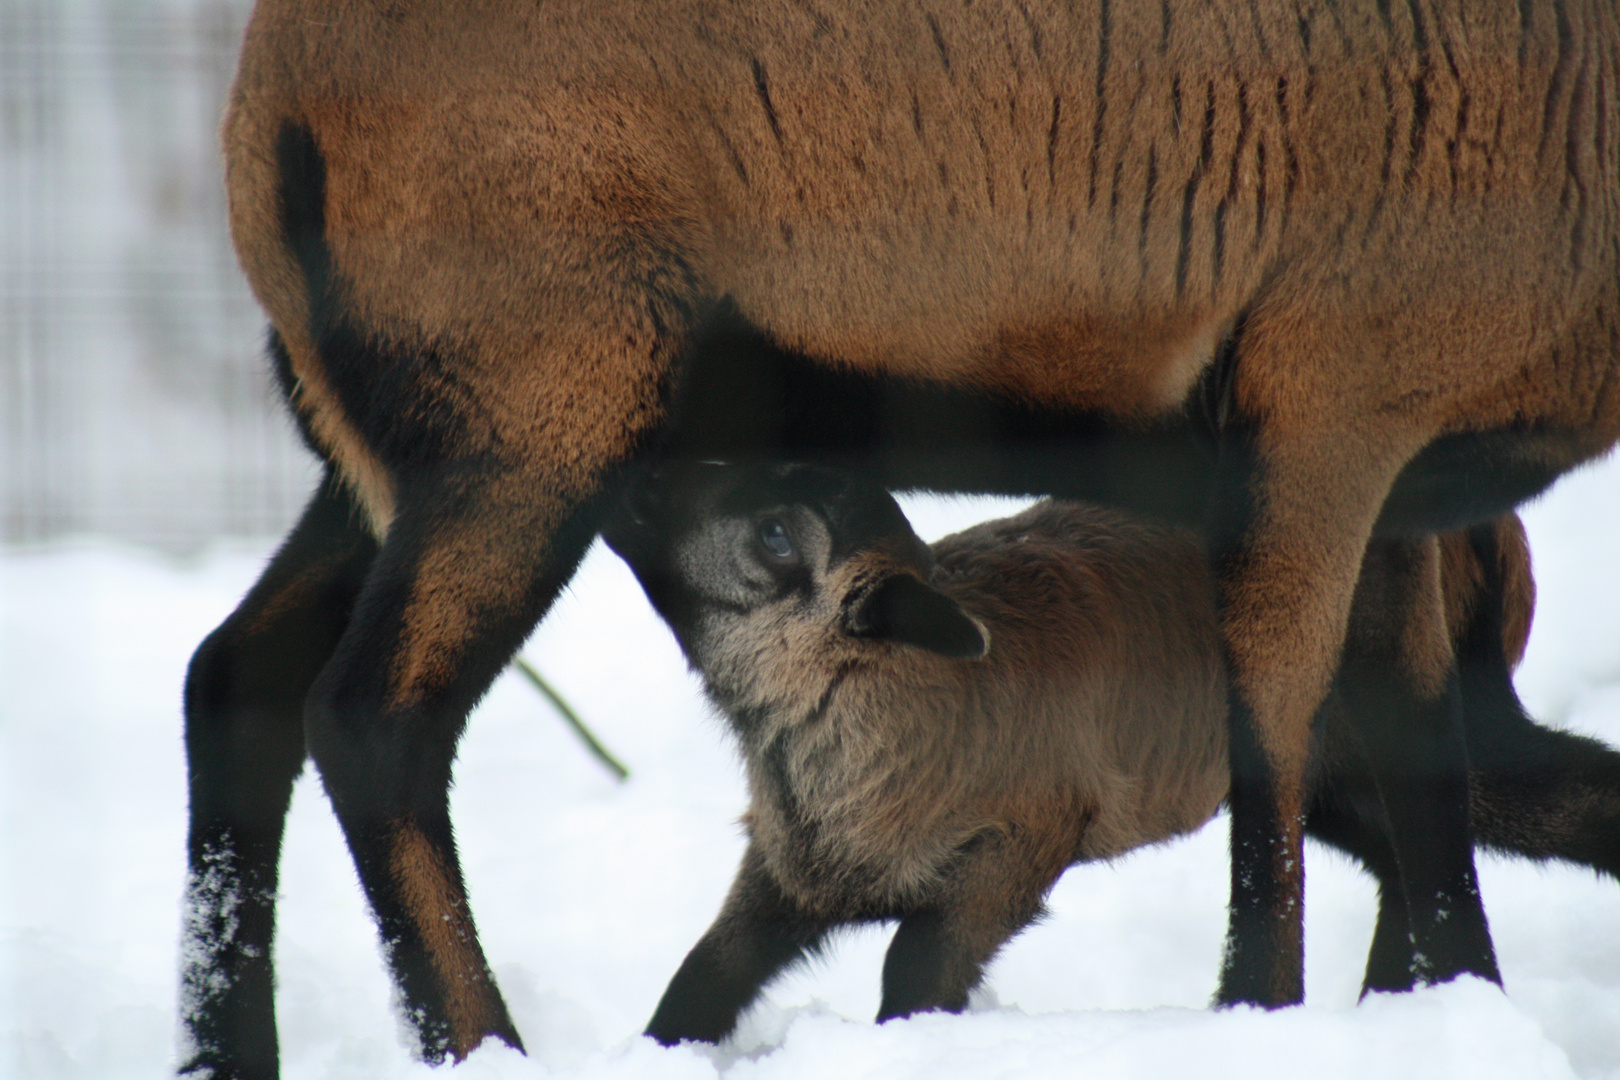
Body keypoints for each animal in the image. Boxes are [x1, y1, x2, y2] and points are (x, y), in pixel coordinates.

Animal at [602, 466, 1620, 1049]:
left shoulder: (1024, 846)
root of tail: (1496, 533)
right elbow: (700, 979)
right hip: (1333, 779)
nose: (634, 480)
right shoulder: (789, 869)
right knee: (1408, 866)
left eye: (776, 534)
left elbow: (912, 971)